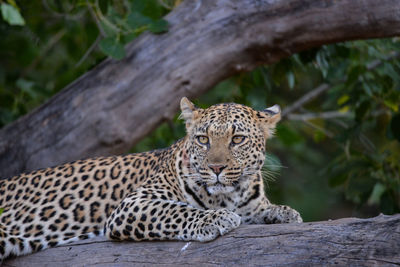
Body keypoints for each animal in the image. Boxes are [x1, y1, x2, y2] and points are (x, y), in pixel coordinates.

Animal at [0, 97, 300, 260]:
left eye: (237, 139)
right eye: (203, 139)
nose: (216, 168)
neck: (230, 195)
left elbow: (262, 210)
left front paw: (284, 213)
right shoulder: (132, 205)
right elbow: (177, 211)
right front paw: (215, 219)